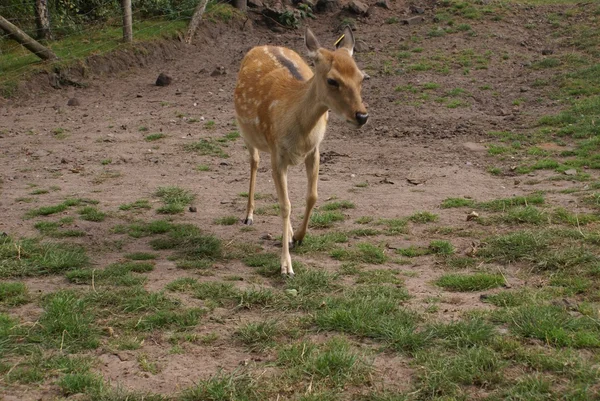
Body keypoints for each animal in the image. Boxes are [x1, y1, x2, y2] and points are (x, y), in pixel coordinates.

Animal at [233, 25, 366, 276]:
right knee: (254, 161)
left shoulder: (314, 151)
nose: (362, 116)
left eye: (362, 77)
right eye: (332, 80)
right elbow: (285, 205)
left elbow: (312, 196)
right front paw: (286, 266)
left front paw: (299, 237)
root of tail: (262, 45)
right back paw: (249, 215)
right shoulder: (277, 153)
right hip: (246, 131)